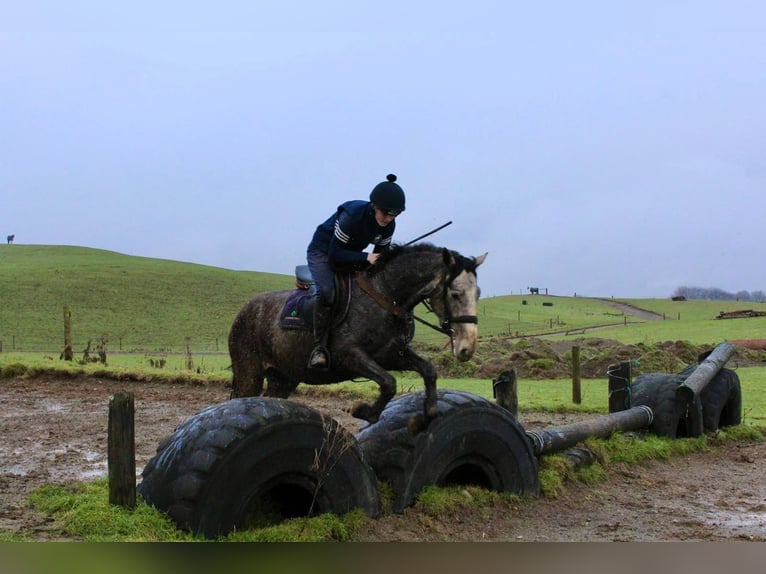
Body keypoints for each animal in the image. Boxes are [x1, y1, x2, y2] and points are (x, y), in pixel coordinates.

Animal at [228, 245, 488, 426]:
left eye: (478, 293)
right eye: (455, 294)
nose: (467, 349)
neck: (386, 296)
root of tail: (244, 310)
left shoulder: (391, 355)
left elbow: (428, 370)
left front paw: (428, 414)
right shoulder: (349, 356)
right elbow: (388, 383)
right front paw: (362, 411)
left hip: (284, 377)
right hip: (249, 372)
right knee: (240, 399)